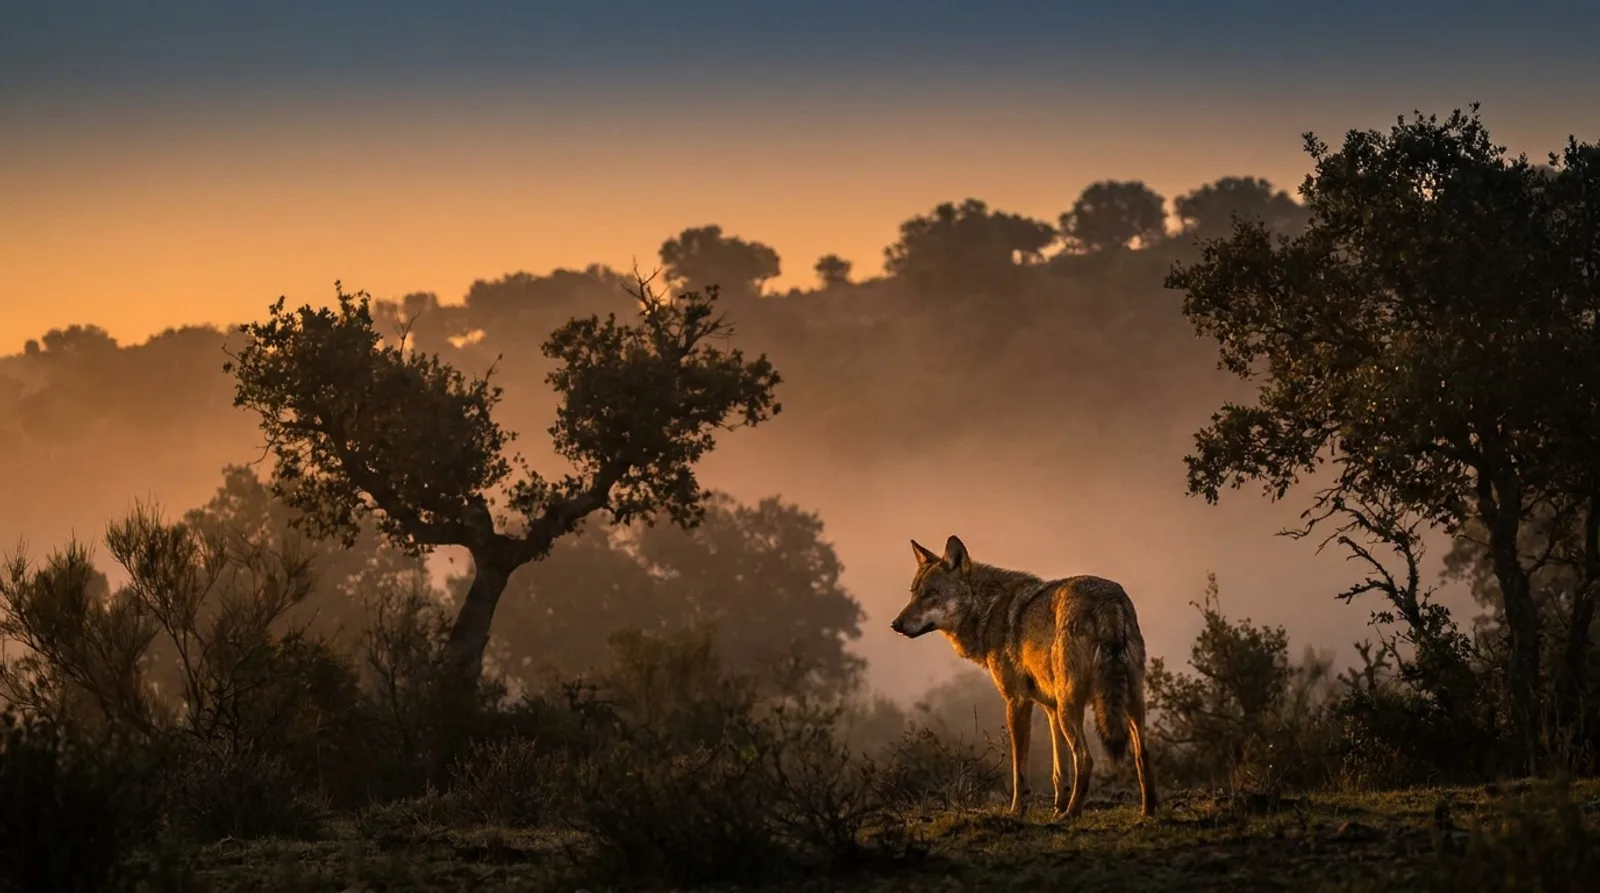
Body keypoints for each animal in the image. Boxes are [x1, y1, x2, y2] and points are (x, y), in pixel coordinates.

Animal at [890, 535, 1157, 819]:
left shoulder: (1017, 702)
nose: (895, 624)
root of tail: (1108, 599)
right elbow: (1059, 771)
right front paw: (1056, 809)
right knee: (1142, 754)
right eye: (913, 593)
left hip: (1071, 708)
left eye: (930, 595)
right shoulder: (1050, 709)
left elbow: (1019, 770)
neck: (988, 610)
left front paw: (1017, 811)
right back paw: (1146, 813)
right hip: (1126, 703)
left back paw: (1072, 814)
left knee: (1085, 759)